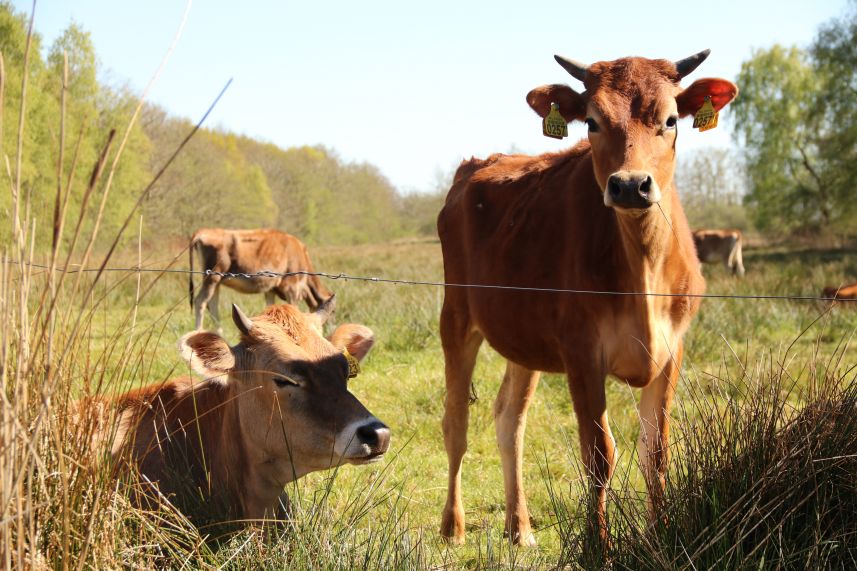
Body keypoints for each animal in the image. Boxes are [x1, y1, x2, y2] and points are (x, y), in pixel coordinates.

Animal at [190, 228, 332, 330]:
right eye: (333, 311)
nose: (330, 329)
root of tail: (203, 231)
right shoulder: (292, 288)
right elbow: (293, 310)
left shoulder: (270, 289)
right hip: (212, 277)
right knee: (200, 302)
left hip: (216, 282)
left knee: (213, 306)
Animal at [434, 50, 736, 544]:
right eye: (592, 122)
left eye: (671, 120)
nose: (630, 185)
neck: (642, 270)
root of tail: (477, 164)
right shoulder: (581, 352)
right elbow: (599, 455)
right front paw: (598, 547)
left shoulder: (672, 351)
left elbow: (656, 453)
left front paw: (661, 538)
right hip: (456, 317)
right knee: (455, 422)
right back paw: (453, 526)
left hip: (524, 340)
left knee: (509, 419)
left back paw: (520, 527)